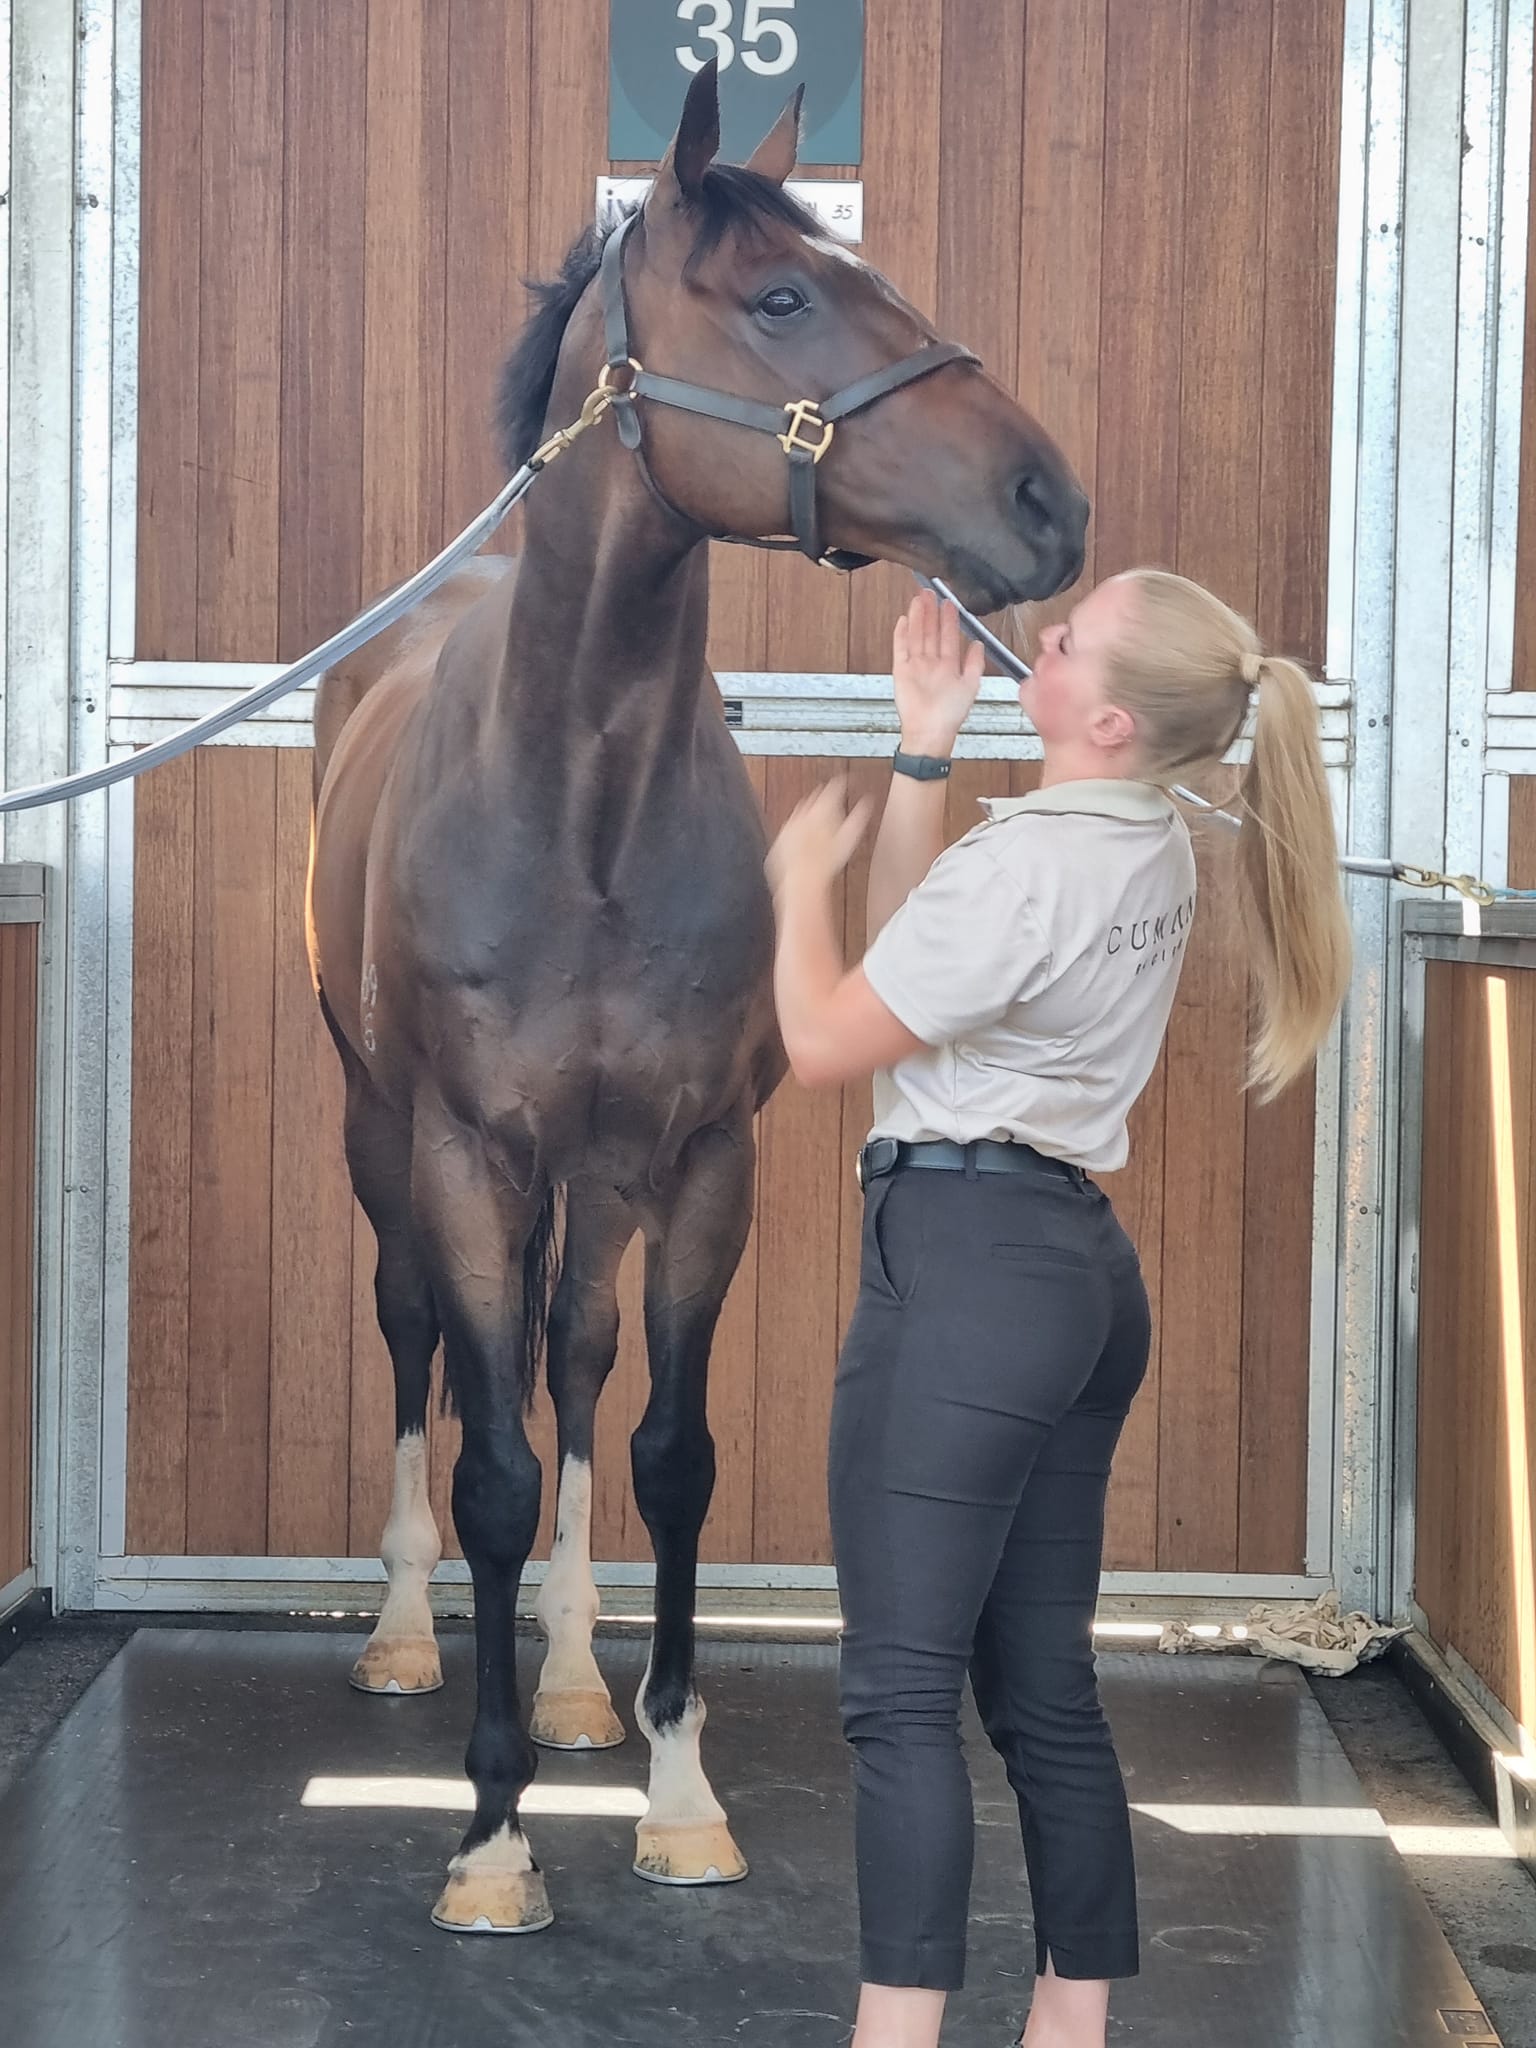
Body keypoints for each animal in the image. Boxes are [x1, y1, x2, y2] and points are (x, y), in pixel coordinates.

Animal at [307, 64, 1089, 1933]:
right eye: (786, 298)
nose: (1047, 501)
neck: (577, 805)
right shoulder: (464, 1155)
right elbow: (493, 1462)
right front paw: (491, 1837)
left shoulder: (702, 1159)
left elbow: (665, 1450)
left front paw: (672, 1789)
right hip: (384, 1139)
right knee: (418, 1340)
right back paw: (401, 1637)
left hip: (599, 1180)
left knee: (577, 1353)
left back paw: (581, 1682)